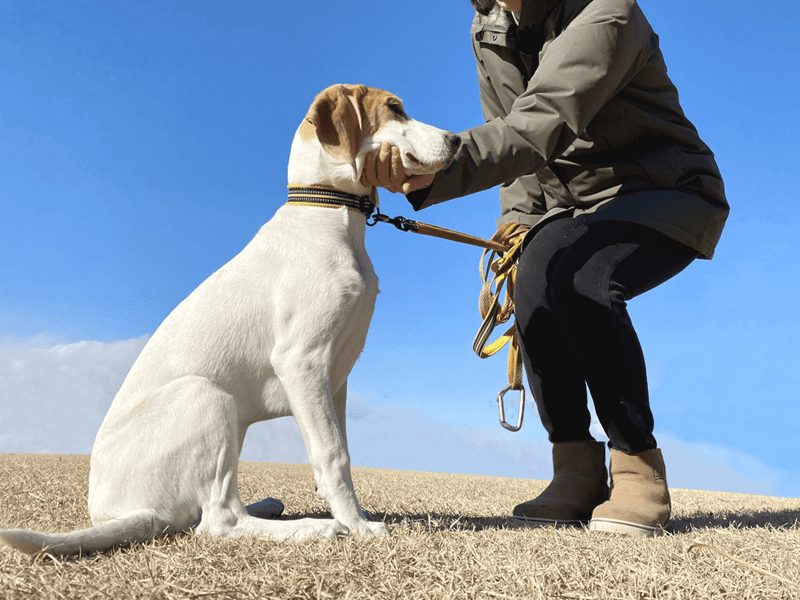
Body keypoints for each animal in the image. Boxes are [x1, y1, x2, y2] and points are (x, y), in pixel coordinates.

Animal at [0, 84, 460, 556]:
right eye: (394, 108)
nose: (458, 141)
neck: (328, 211)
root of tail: (116, 513)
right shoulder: (302, 362)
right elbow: (334, 453)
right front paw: (357, 525)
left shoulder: (336, 379)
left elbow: (340, 450)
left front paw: (355, 514)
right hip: (207, 396)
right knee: (218, 520)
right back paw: (311, 527)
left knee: (208, 513)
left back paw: (272, 507)